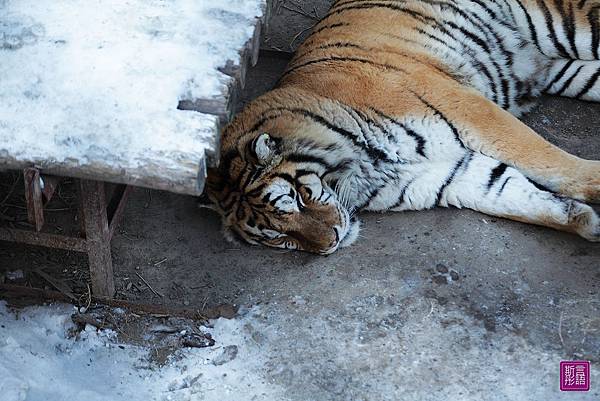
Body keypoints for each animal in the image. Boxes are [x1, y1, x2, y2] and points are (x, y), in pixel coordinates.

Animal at [204, 0, 596, 255]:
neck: (363, 171)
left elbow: (546, 160)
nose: (331, 242)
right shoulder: (443, 176)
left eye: (298, 199)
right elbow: (511, 193)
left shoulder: (462, 105)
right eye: (278, 237)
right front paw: (587, 222)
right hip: (564, 69)